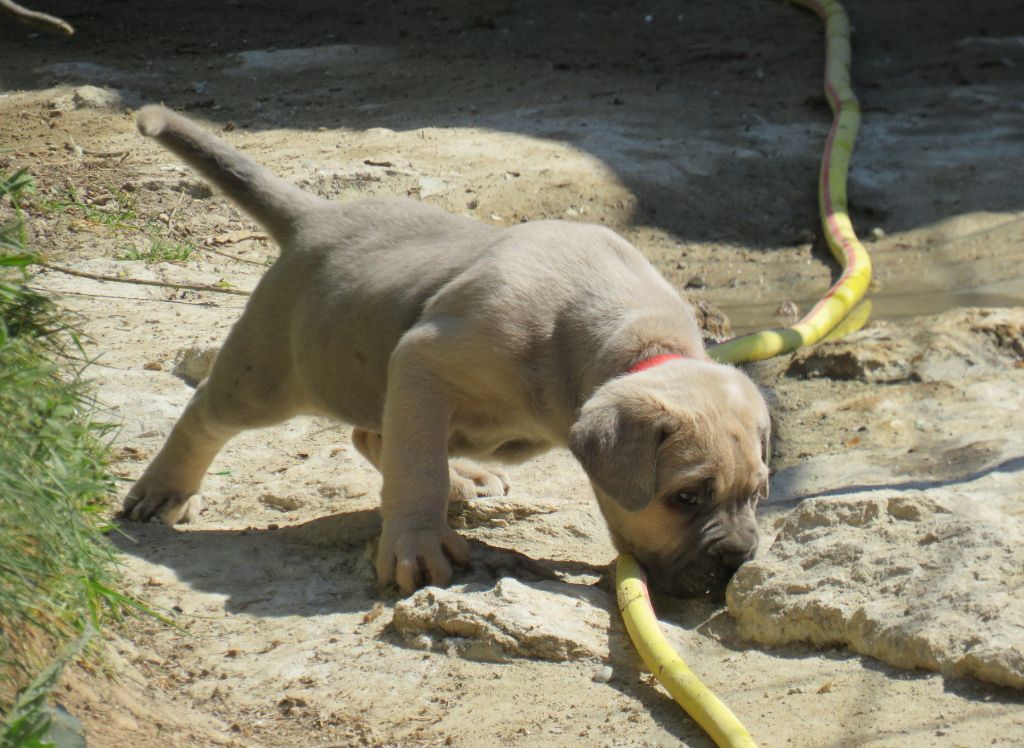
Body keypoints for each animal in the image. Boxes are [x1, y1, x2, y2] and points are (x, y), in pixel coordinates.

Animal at [125, 106, 770, 594]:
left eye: (760, 494)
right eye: (685, 497)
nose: (739, 559)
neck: (634, 337)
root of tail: (317, 216)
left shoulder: (416, 376)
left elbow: (411, 452)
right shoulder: (425, 357)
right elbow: (418, 467)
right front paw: (415, 543)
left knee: (375, 434)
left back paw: (466, 476)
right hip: (270, 377)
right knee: (209, 412)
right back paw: (165, 490)